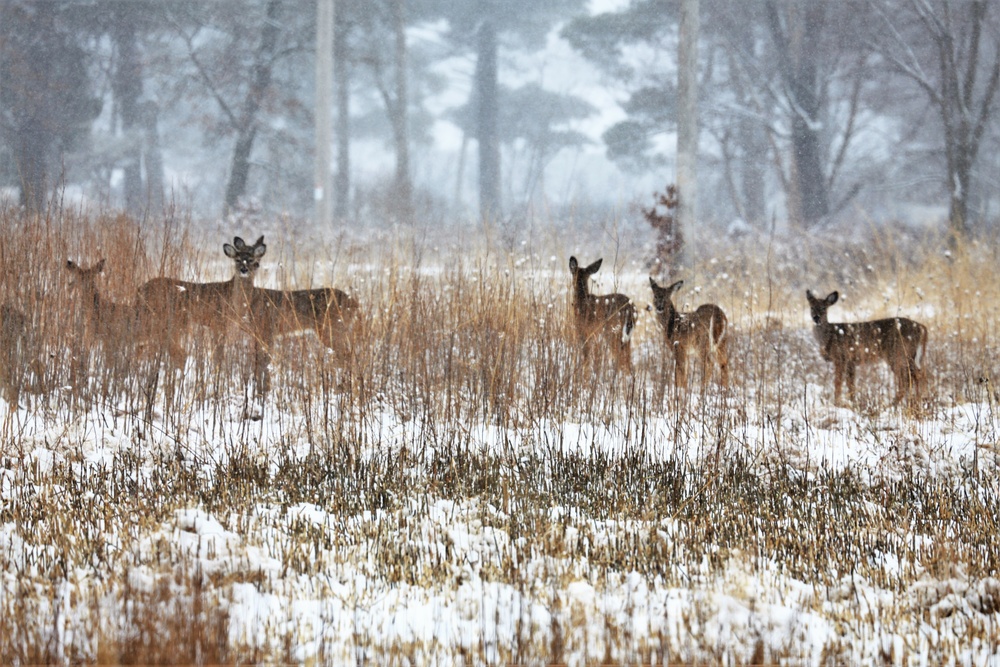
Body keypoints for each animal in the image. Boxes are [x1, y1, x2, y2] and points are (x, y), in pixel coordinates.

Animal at [139, 236, 270, 370]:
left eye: (253, 261)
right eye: (237, 260)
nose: (244, 269)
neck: (233, 300)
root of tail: (140, 289)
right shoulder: (218, 323)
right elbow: (218, 356)